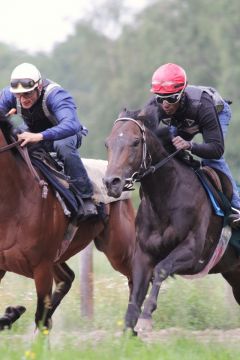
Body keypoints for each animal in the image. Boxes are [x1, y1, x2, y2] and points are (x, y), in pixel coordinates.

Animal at [0, 114, 135, 330]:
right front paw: (10, 314)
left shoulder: (42, 267)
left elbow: (41, 316)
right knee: (67, 278)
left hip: (118, 248)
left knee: (137, 275)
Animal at [103, 109, 240, 334]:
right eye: (108, 143)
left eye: (135, 142)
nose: (111, 182)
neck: (166, 196)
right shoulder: (143, 254)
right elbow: (135, 296)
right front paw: (129, 331)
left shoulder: (193, 251)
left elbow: (162, 268)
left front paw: (146, 317)